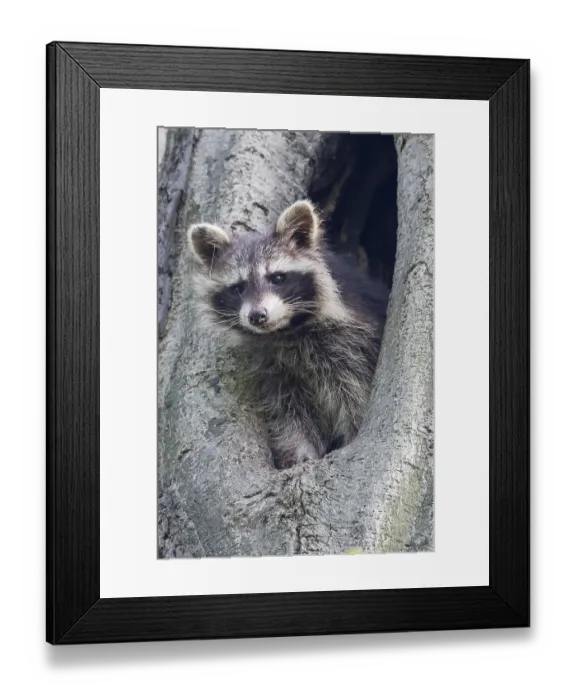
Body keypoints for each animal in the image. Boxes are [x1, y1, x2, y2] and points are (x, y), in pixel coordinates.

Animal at [188, 200, 389, 469]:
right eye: (238, 288)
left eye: (278, 278)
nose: (257, 316)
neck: (286, 331)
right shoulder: (276, 369)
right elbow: (288, 412)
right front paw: (300, 450)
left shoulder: (352, 342)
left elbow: (356, 394)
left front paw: (351, 438)